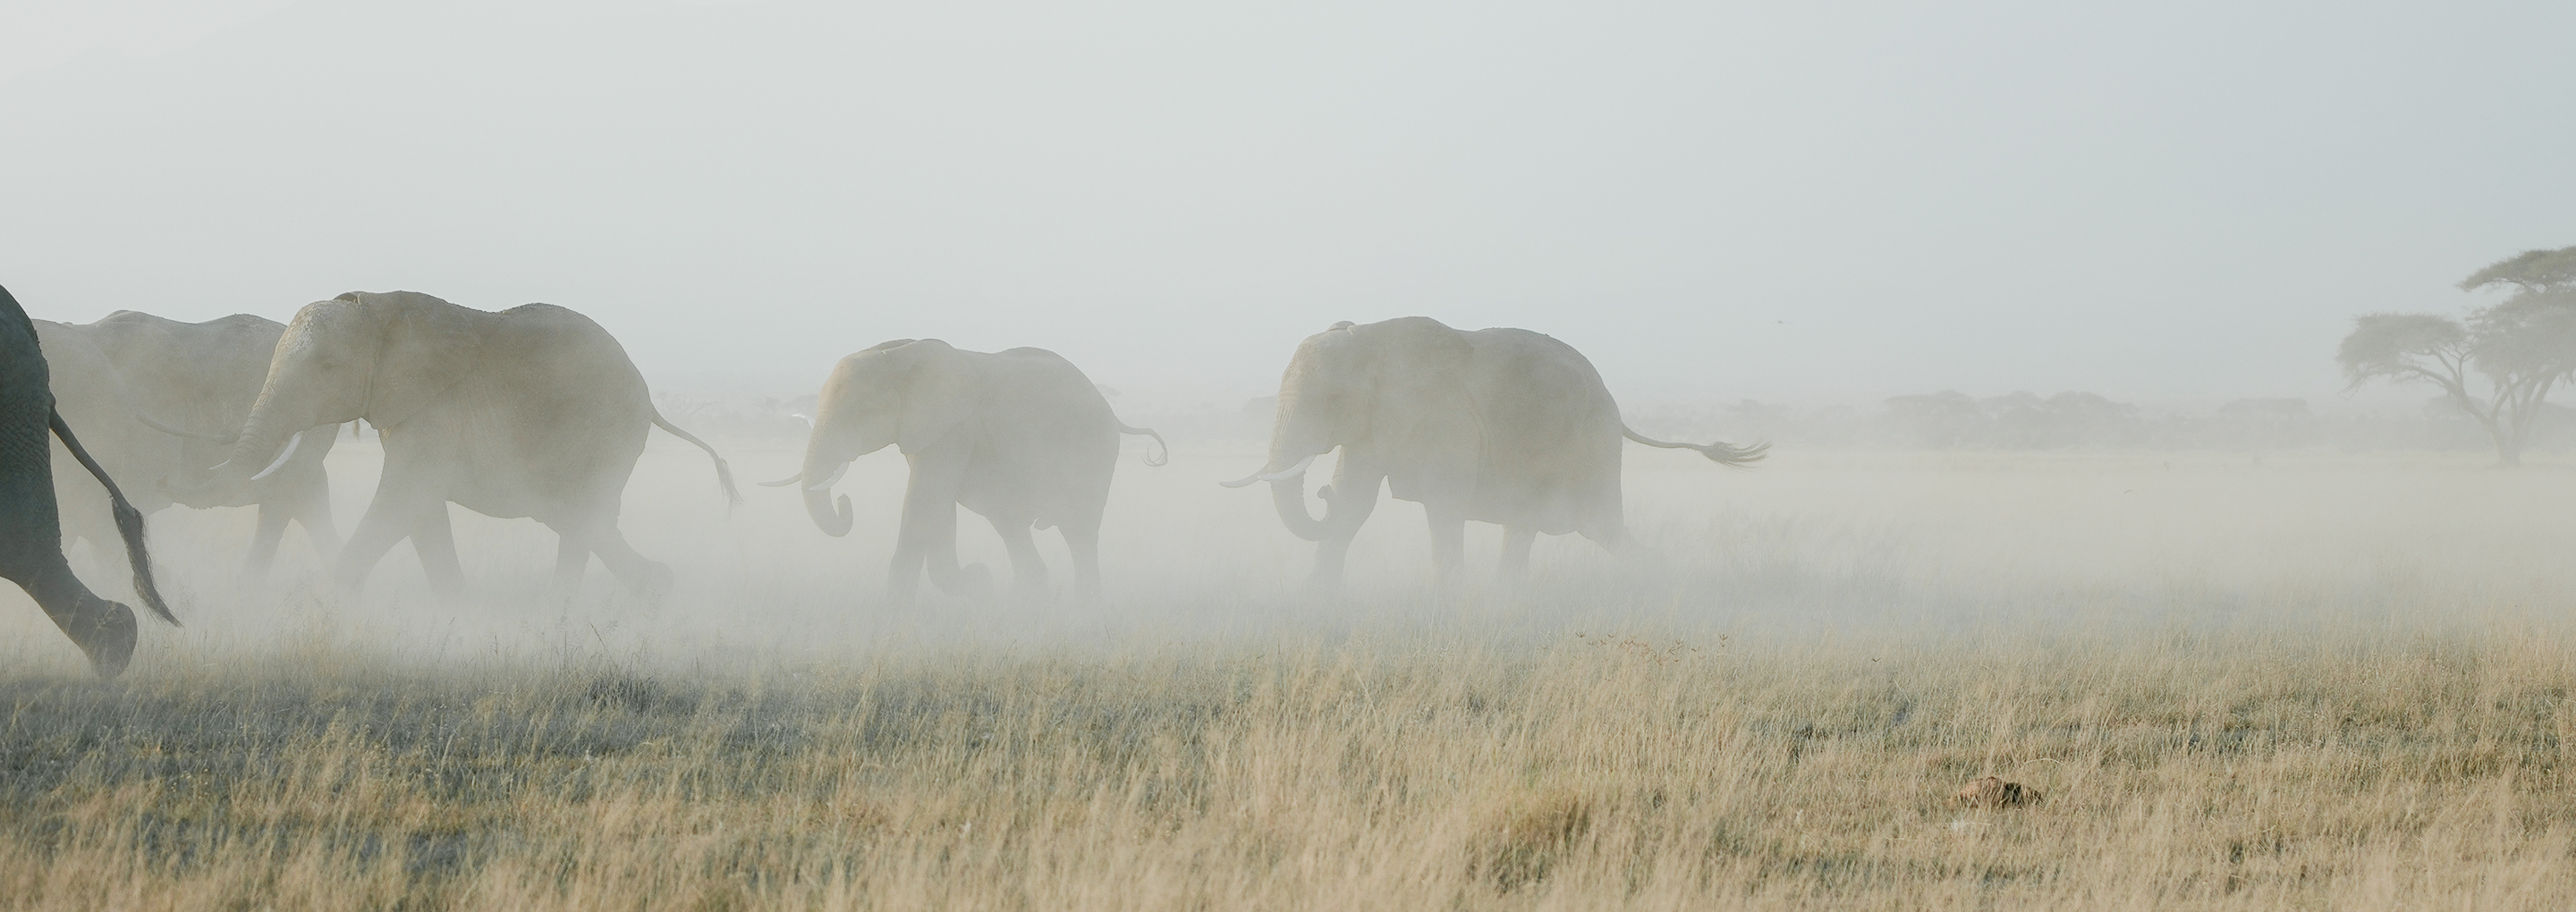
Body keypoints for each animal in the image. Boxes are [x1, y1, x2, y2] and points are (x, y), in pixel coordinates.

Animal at [172, 290, 737, 597]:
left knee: (582, 513)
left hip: (607, 429)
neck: (377, 312)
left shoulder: (434, 409)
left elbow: (404, 497)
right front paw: (459, 613)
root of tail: (649, 398)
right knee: (578, 517)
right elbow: (421, 511)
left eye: (328, 368)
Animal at [760, 340, 1166, 602]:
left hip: (1094, 451)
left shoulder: (952, 428)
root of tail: (1114, 413)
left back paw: (1085, 606)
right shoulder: (929, 433)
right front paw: (978, 585)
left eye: (860, 413)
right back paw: (1026, 599)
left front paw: (893, 611)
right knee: (1011, 526)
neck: (897, 357)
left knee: (1079, 531)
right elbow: (937, 508)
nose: (845, 500)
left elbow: (923, 502)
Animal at [1222, 317, 1766, 585]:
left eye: (1331, 400)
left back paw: (1660, 578)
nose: (1319, 493)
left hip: (1590, 445)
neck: (1370, 341)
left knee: (1600, 527)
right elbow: (1356, 501)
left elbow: (1443, 506)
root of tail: (1616, 407)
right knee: (1531, 527)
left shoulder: (1444, 421)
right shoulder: (1374, 424)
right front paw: (1316, 596)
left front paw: (1447, 599)